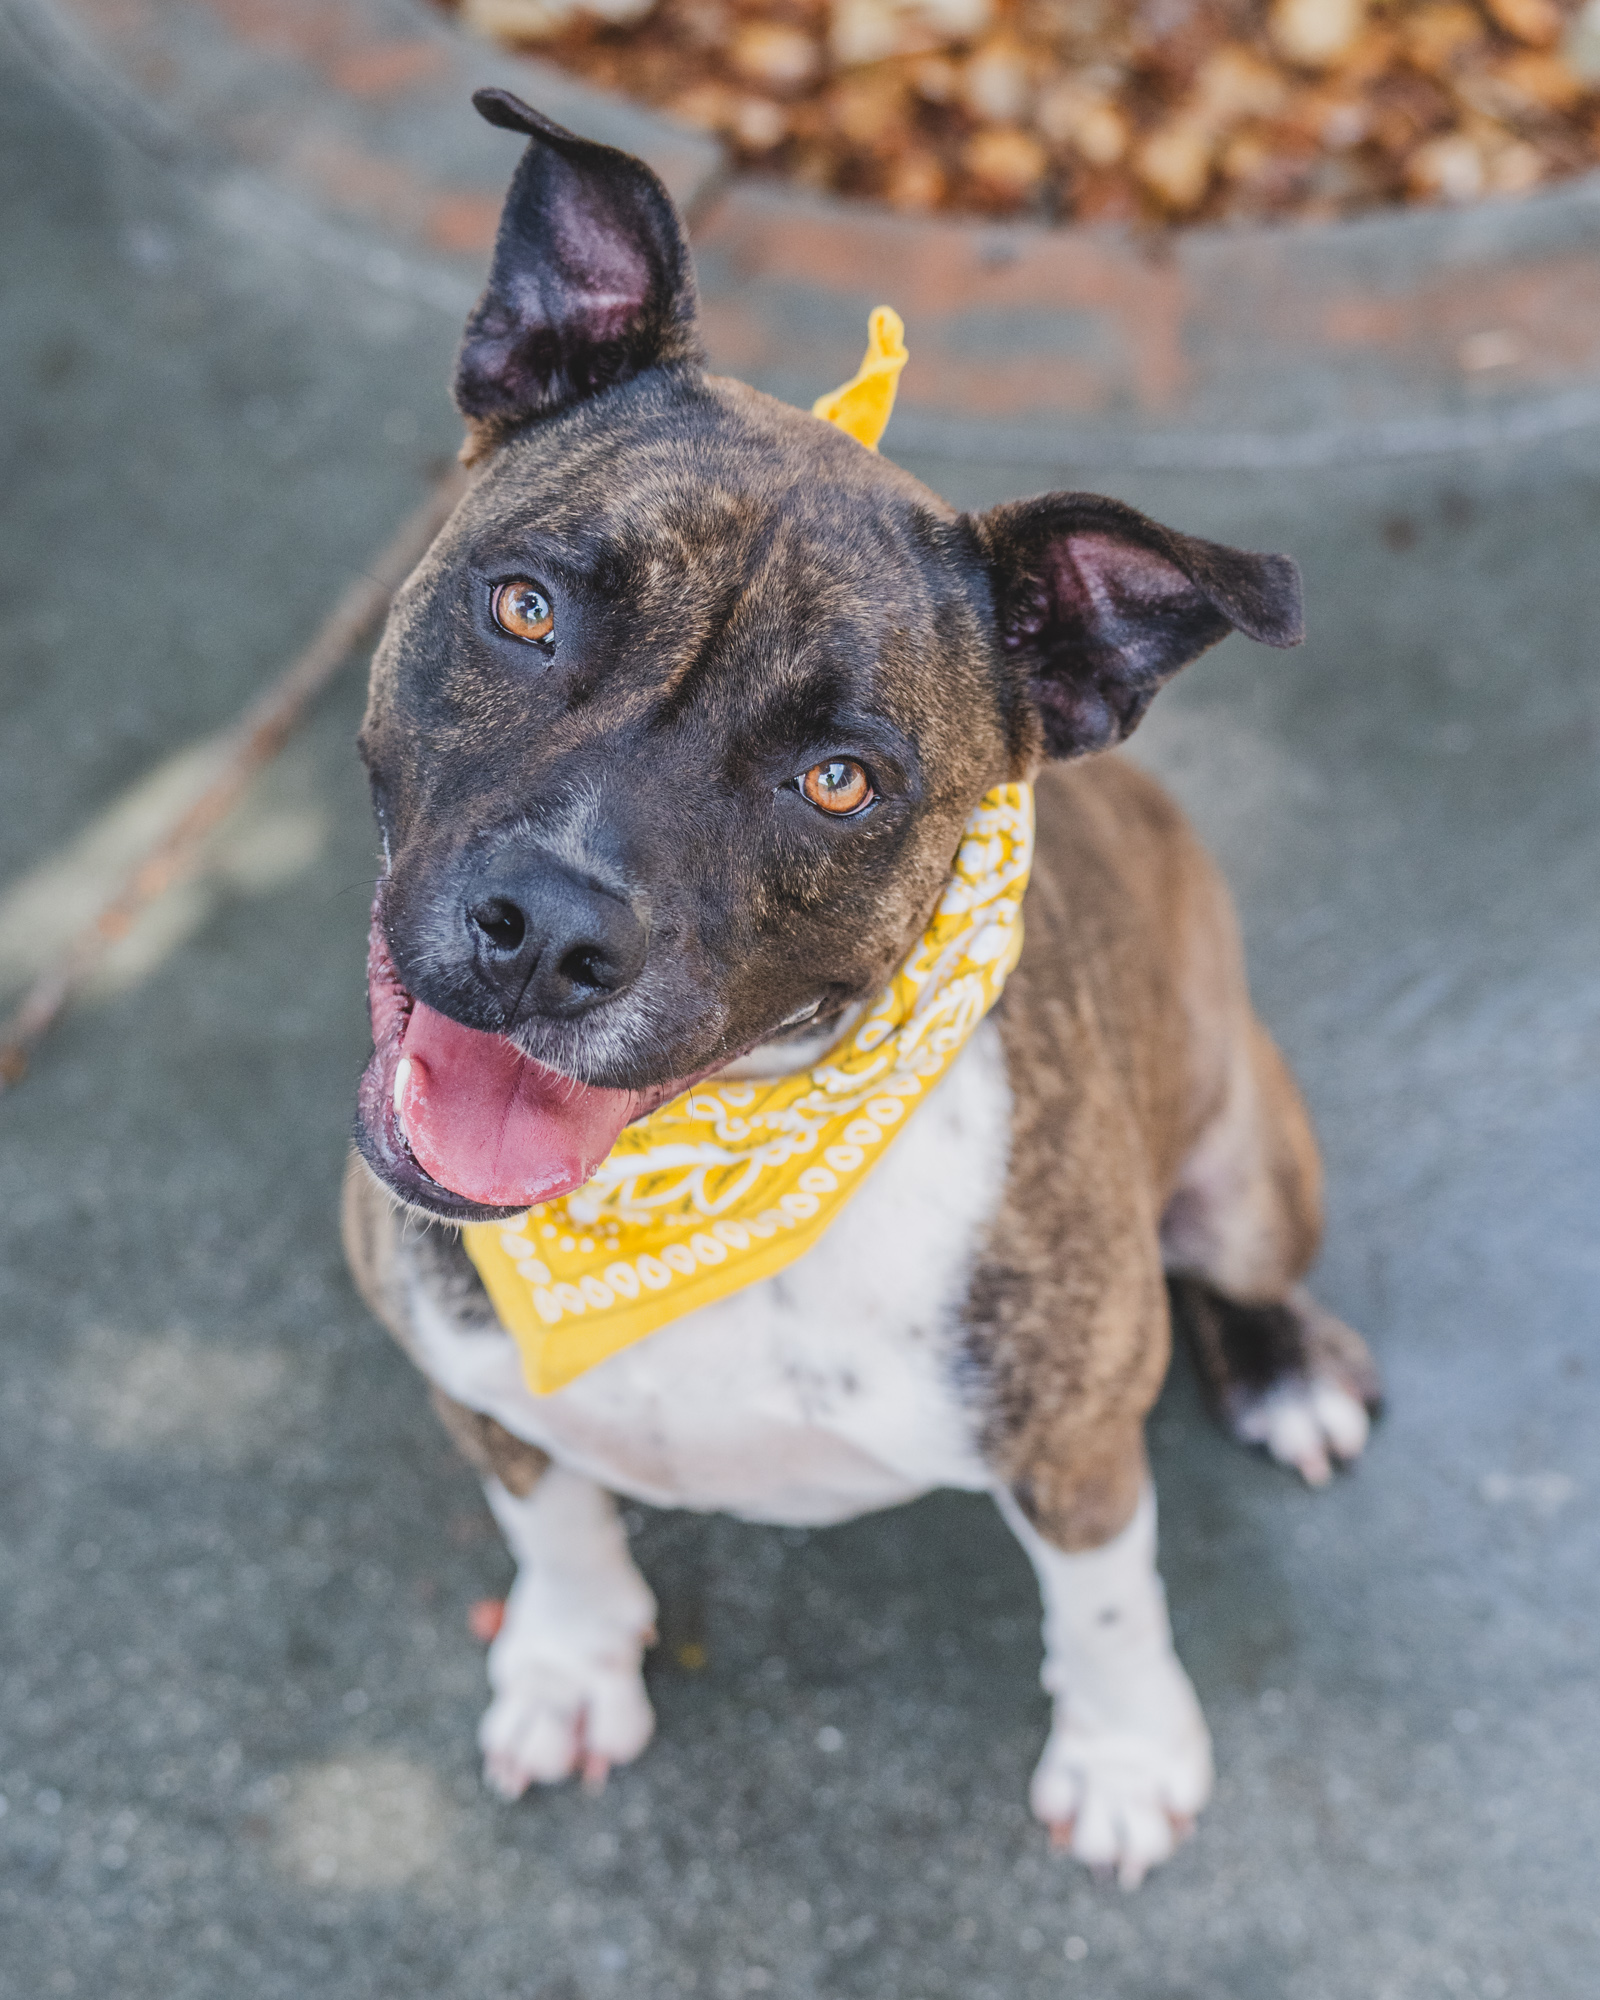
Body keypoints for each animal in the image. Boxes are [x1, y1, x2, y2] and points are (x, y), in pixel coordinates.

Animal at [344, 82, 1384, 1888]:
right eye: (525, 608)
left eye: (842, 780)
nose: (542, 933)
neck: (685, 1180)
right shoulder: (473, 1383)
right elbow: (550, 1515)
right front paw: (567, 1662)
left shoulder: (1072, 1437)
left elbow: (1107, 1596)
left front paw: (1125, 1757)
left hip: (1250, 1165)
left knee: (1241, 1266)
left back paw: (1290, 1369)